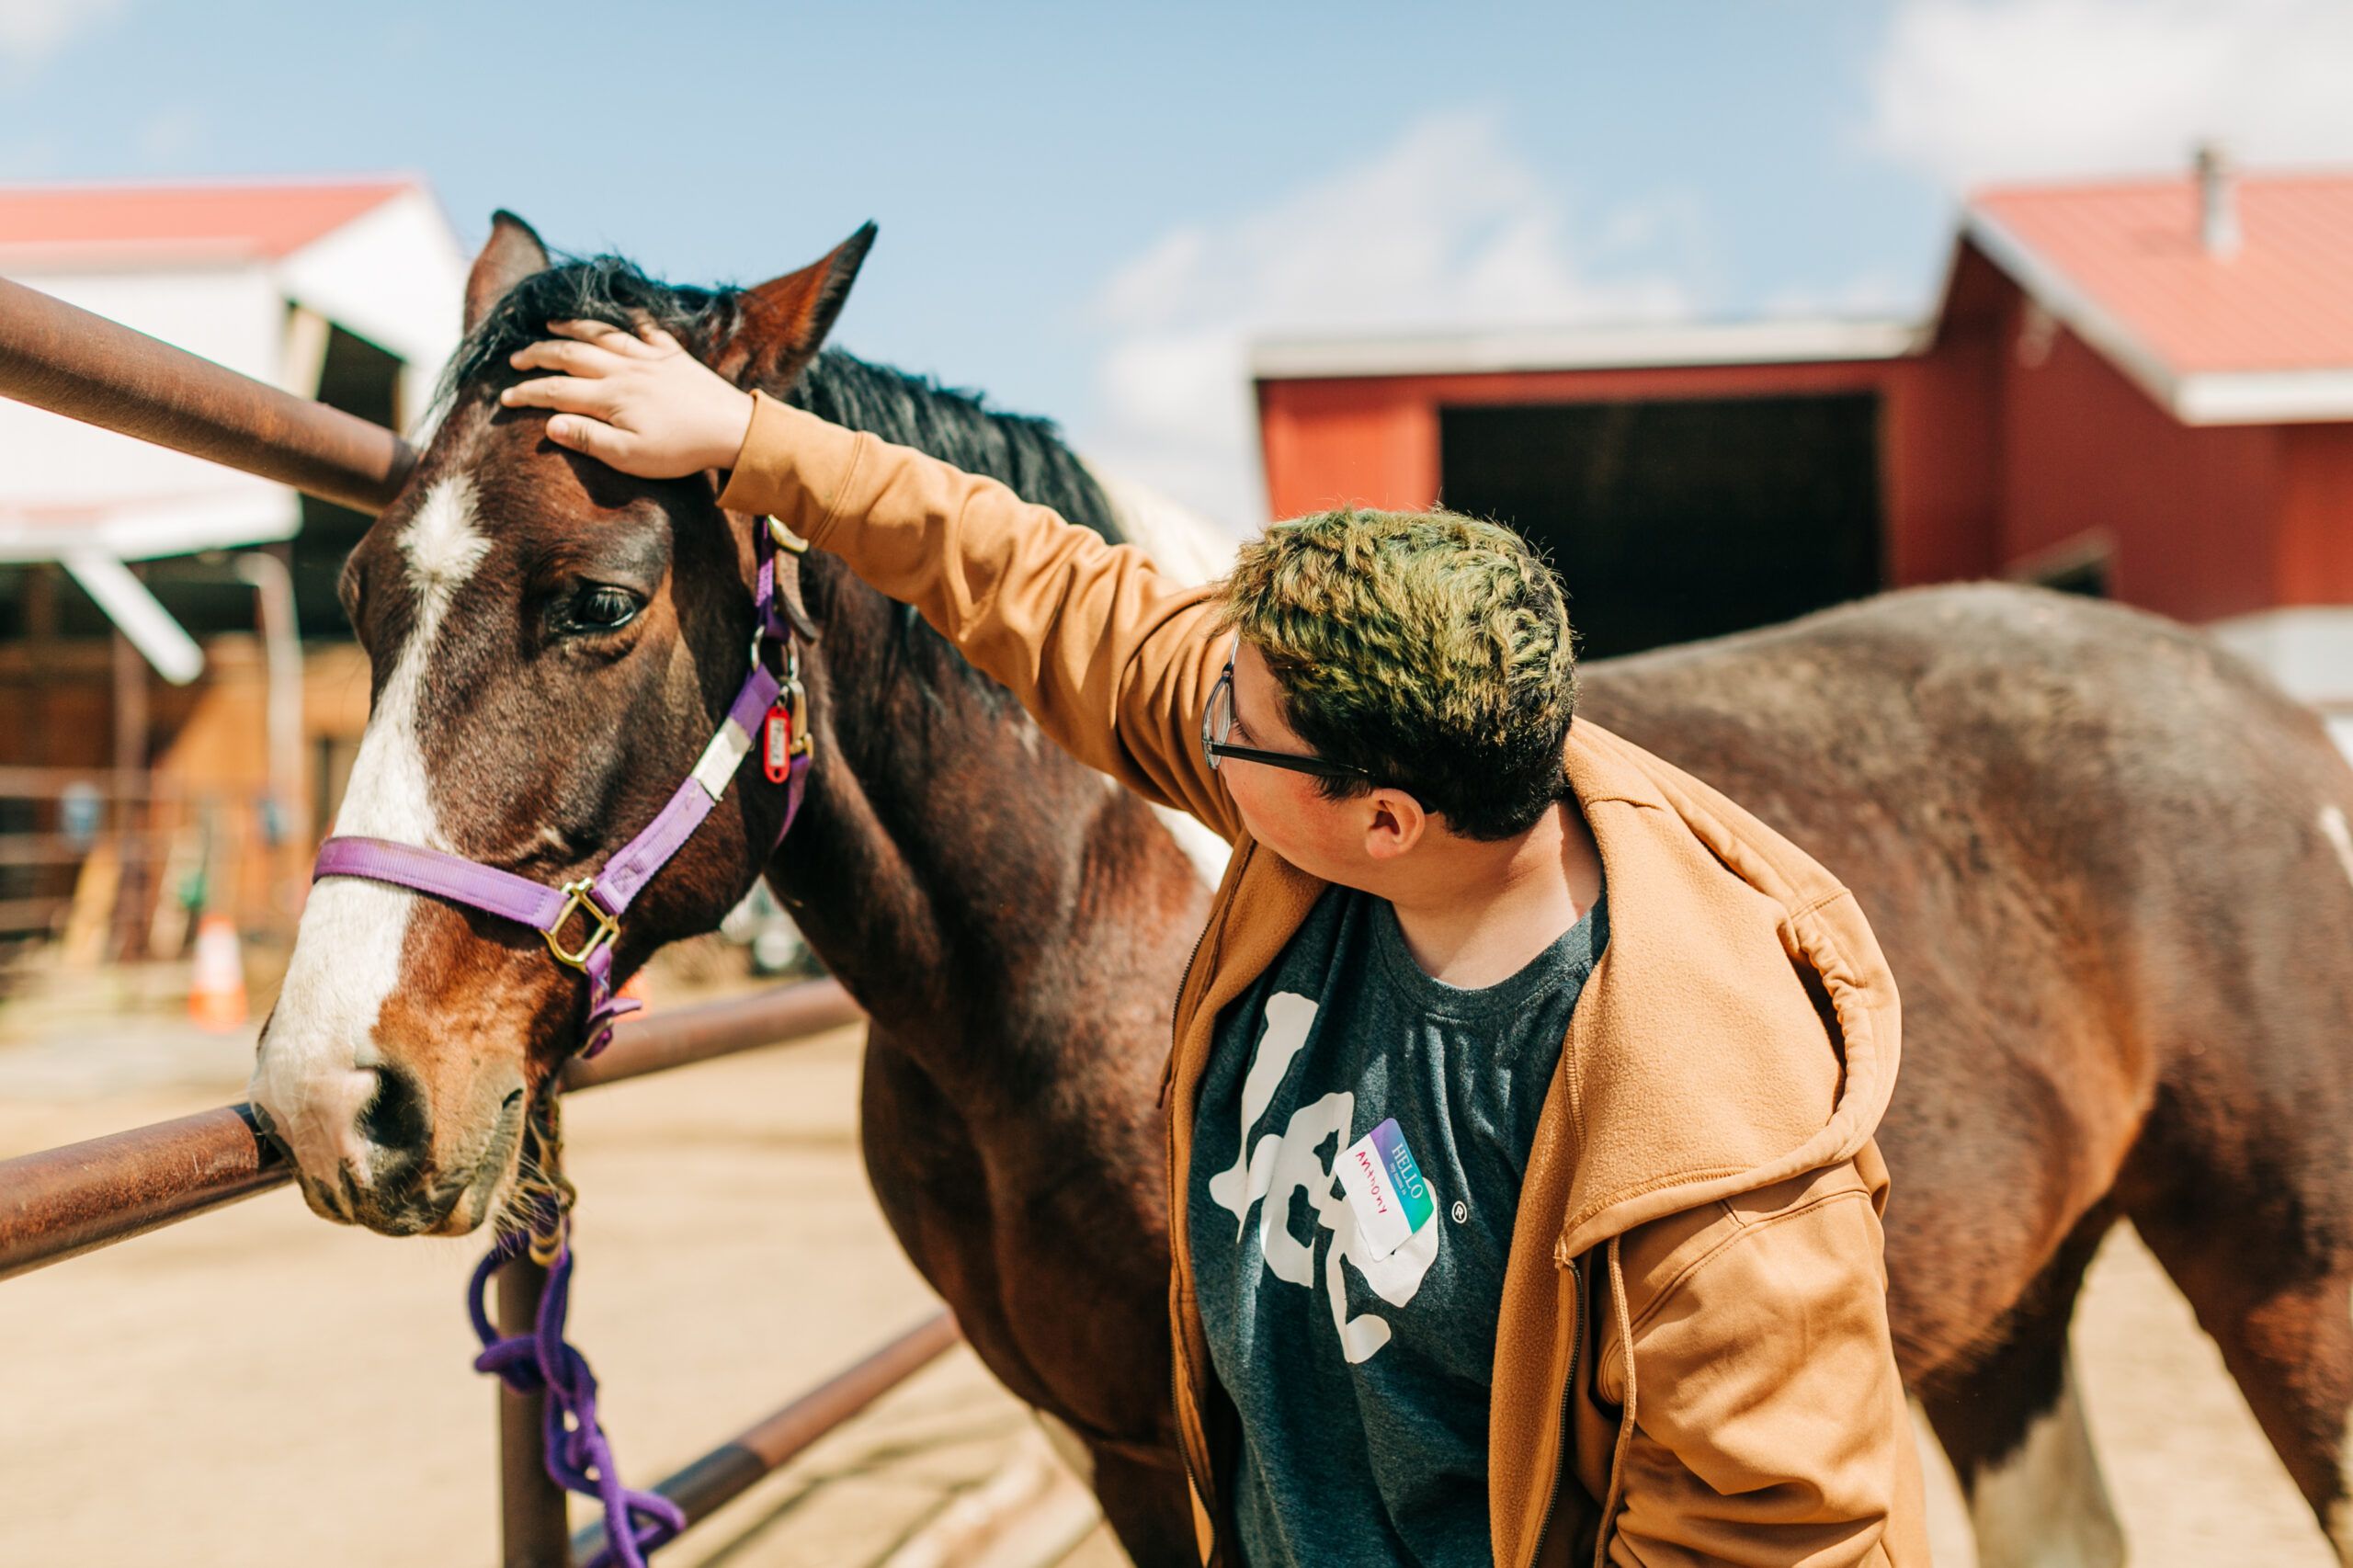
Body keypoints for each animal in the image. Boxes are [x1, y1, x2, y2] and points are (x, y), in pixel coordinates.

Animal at [243, 220, 2353, 1562]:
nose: (337, 1097)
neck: (1084, 918)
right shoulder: (1116, 1451)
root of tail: (2272, 718)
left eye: (599, 603)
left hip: (2294, 1288)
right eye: (353, 595)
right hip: (2010, 1321)